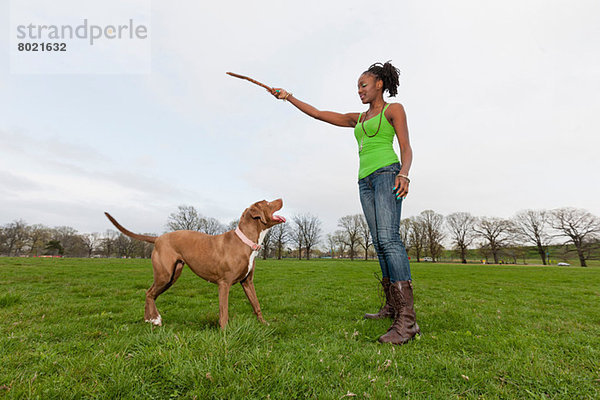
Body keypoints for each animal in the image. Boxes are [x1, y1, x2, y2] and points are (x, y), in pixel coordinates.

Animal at [104, 199, 284, 328]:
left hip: (172, 276)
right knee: (149, 293)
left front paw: (264, 324)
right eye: (268, 202)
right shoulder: (224, 284)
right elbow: (224, 311)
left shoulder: (247, 282)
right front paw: (225, 332)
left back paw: (149, 319)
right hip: (164, 275)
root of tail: (158, 238)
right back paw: (154, 319)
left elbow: (256, 304)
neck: (244, 241)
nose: (281, 198)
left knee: (151, 294)